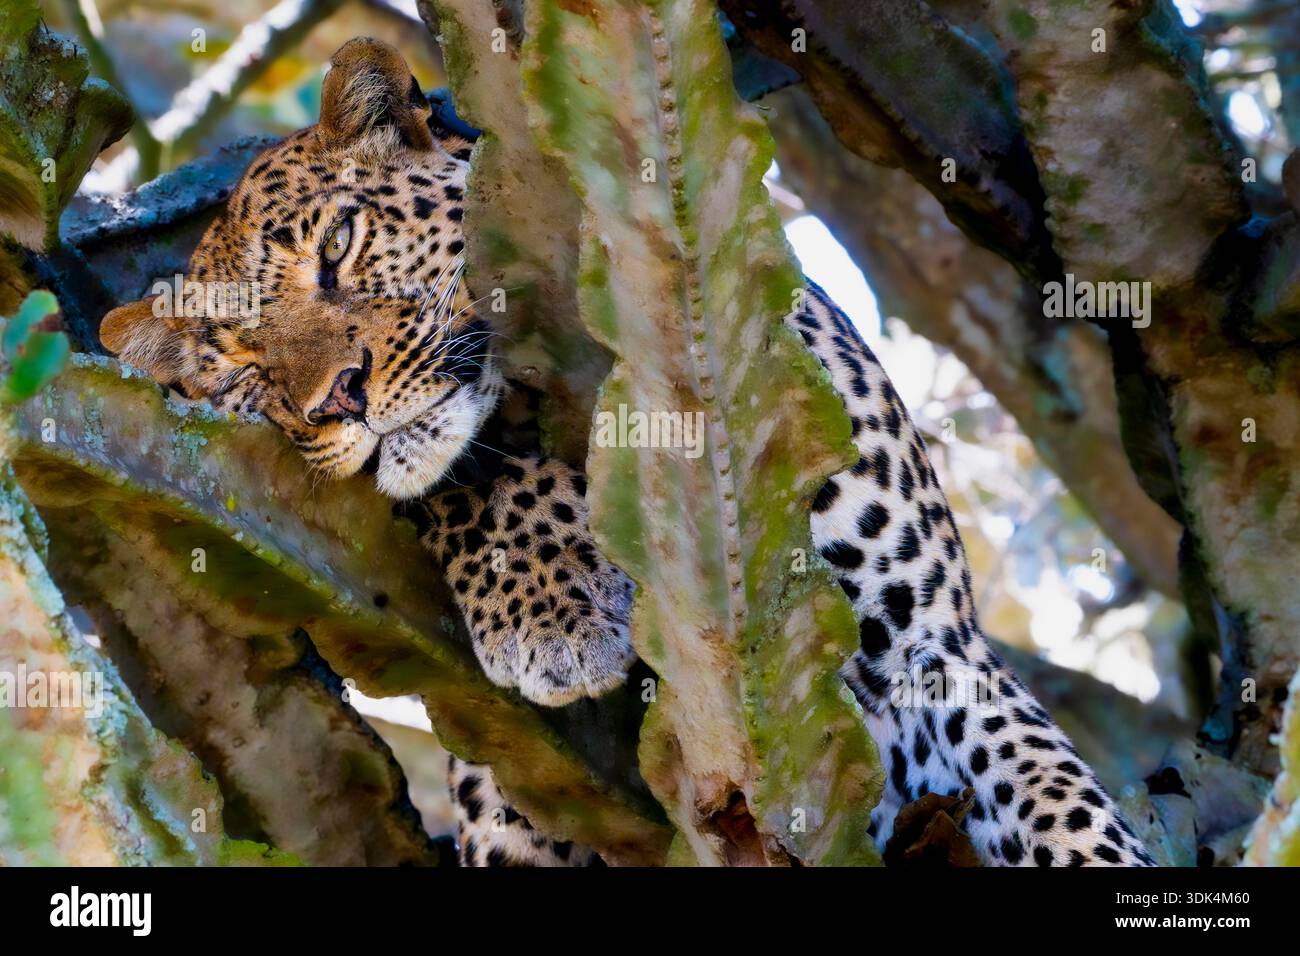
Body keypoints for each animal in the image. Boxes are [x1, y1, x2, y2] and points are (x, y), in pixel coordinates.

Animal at [99, 37, 1153, 867]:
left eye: (338, 246)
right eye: (242, 372)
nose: (336, 398)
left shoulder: (933, 650)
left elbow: (1064, 809)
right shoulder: (508, 803)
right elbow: (459, 474)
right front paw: (551, 607)